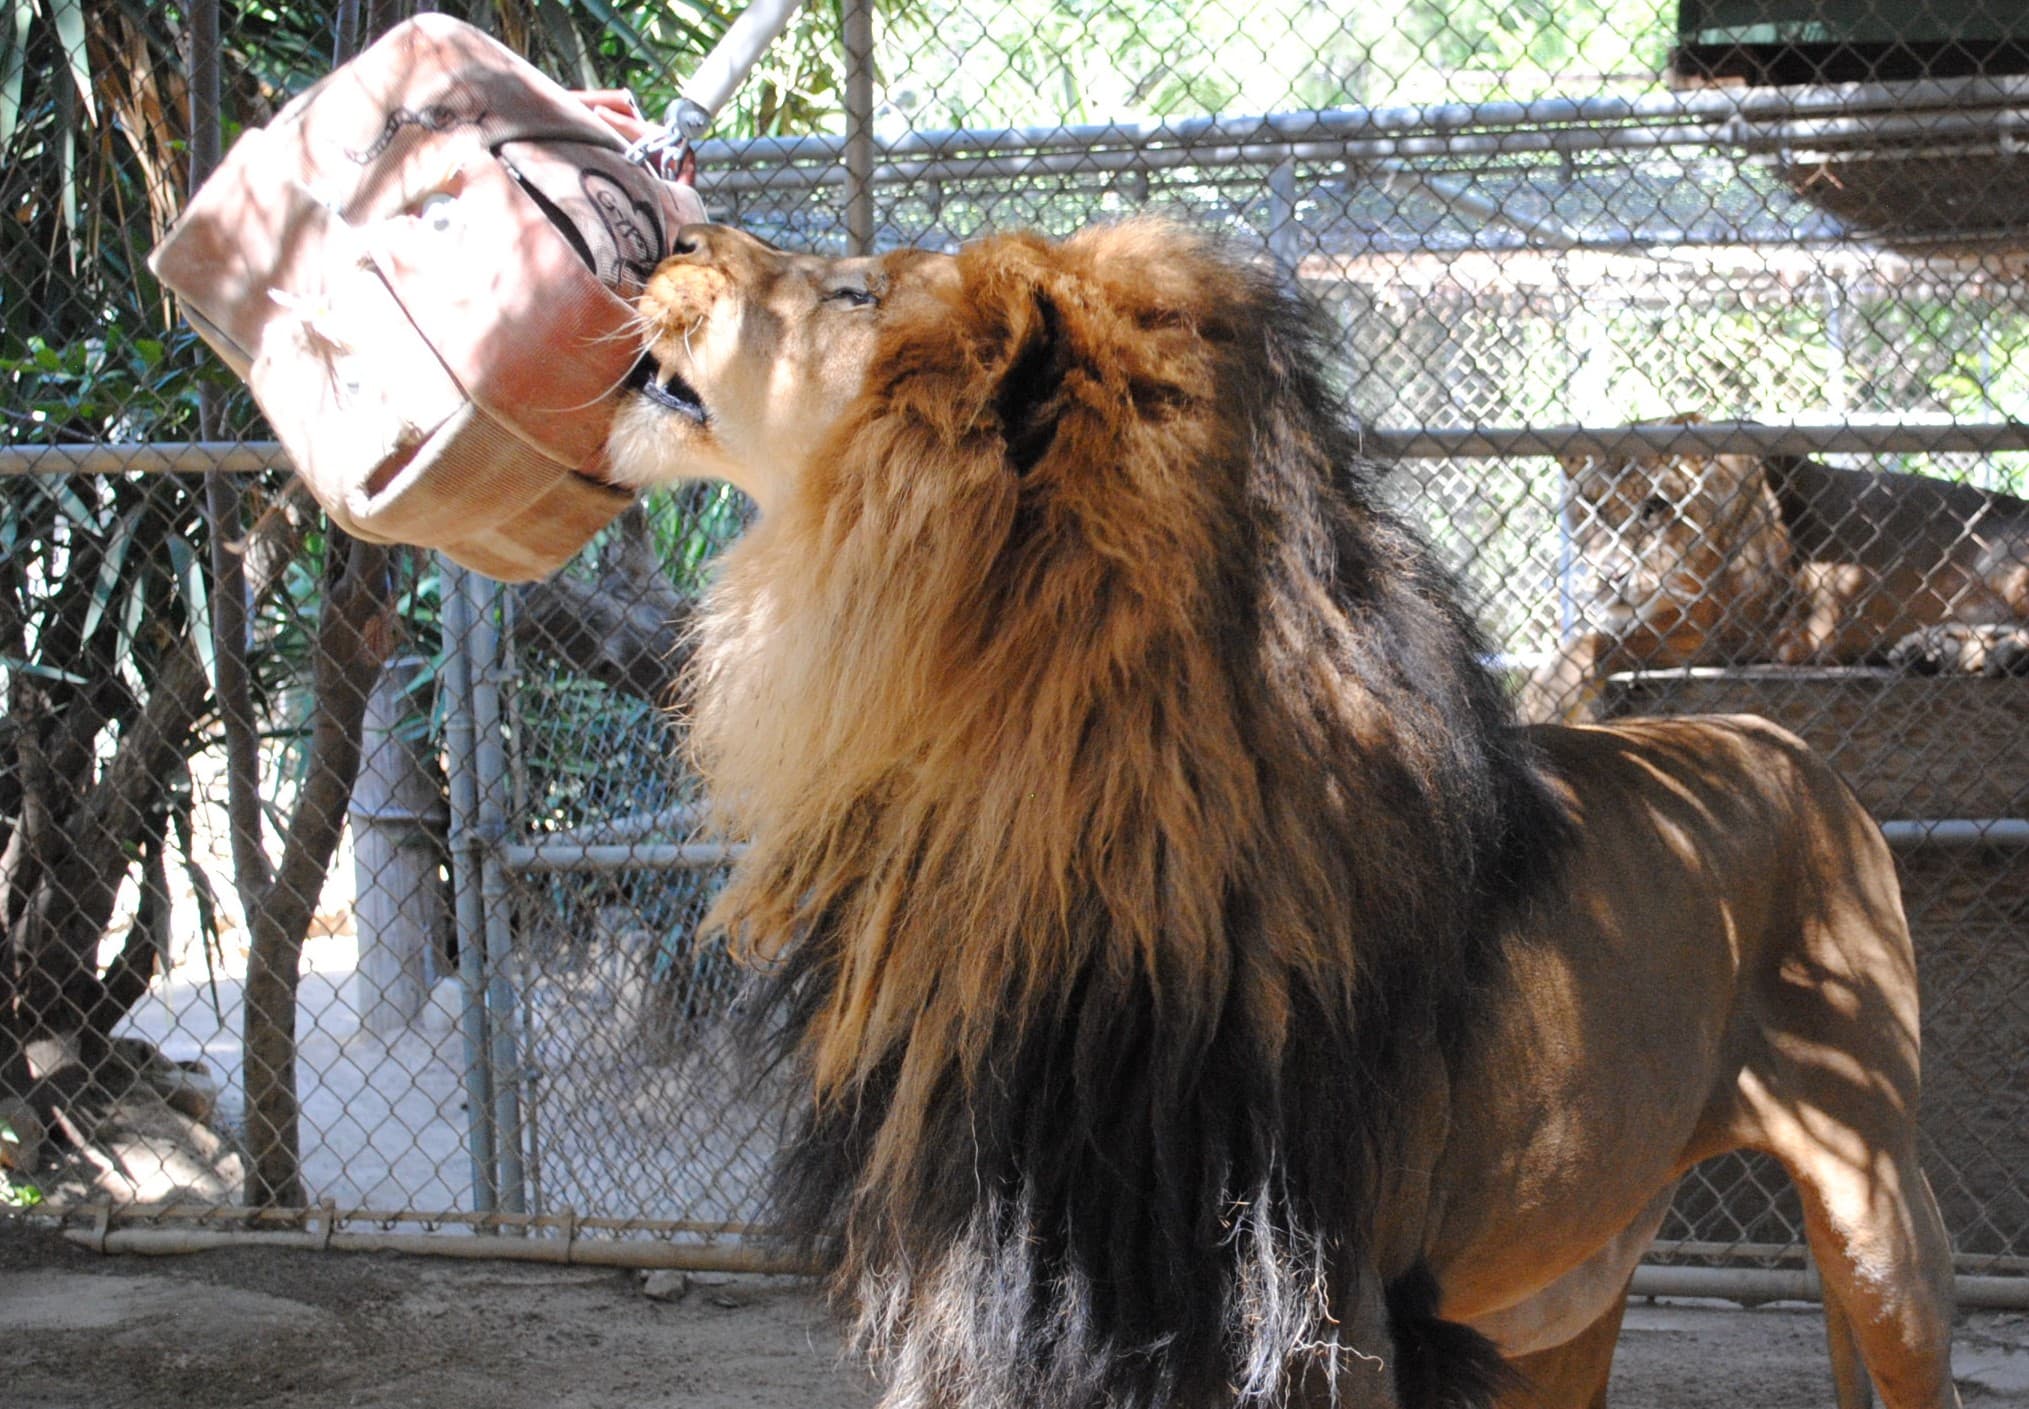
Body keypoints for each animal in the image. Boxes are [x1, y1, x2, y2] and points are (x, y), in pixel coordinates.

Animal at [605, 222, 1959, 1409]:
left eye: (856, 294)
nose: (673, 238)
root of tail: (1780, 737)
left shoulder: (1320, 1306)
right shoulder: (1004, 1272)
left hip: (1874, 1206)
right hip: (1565, 1285)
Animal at [1526, 444, 2029, 720]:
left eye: (1655, 506)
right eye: (1592, 509)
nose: (1610, 575)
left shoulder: (1729, 632)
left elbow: (1587, 645)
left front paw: (1538, 709)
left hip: (2000, 559)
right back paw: (1935, 649)